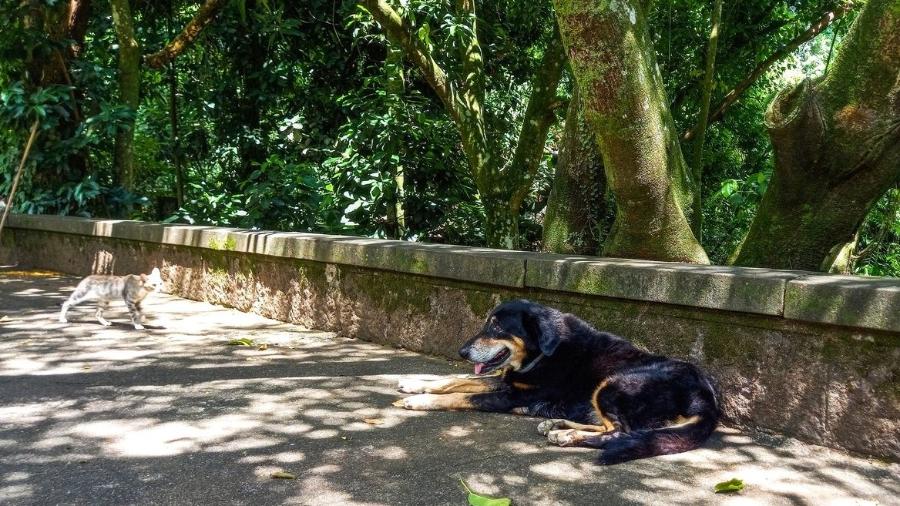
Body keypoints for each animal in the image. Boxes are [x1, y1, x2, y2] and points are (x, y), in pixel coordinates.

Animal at [398, 298, 720, 464]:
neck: (543, 353)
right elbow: (454, 380)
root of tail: (705, 398)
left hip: (613, 385)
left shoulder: (512, 395)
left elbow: (461, 395)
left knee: (619, 432)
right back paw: (556, 424)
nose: (462, 351)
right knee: (611, 427)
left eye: (497, 327)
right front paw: (414, 384)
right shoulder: (508, 382)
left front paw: (419, 400)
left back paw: (566, 435)